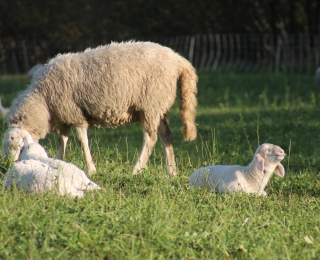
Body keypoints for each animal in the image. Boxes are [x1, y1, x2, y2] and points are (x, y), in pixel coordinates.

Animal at [1, 41, 198, 175]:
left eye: (17, 145)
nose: (9, 166)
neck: (43, 99)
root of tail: (178, 60)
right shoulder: (63, 117)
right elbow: (62, 141)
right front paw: (58, 161)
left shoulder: (75, 114)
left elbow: (82, 142)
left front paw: (91, 169)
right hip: (159, 107)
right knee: (166, 135)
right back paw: (171, 171)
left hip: (150, 104)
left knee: (151, 138)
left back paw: (136, 170)